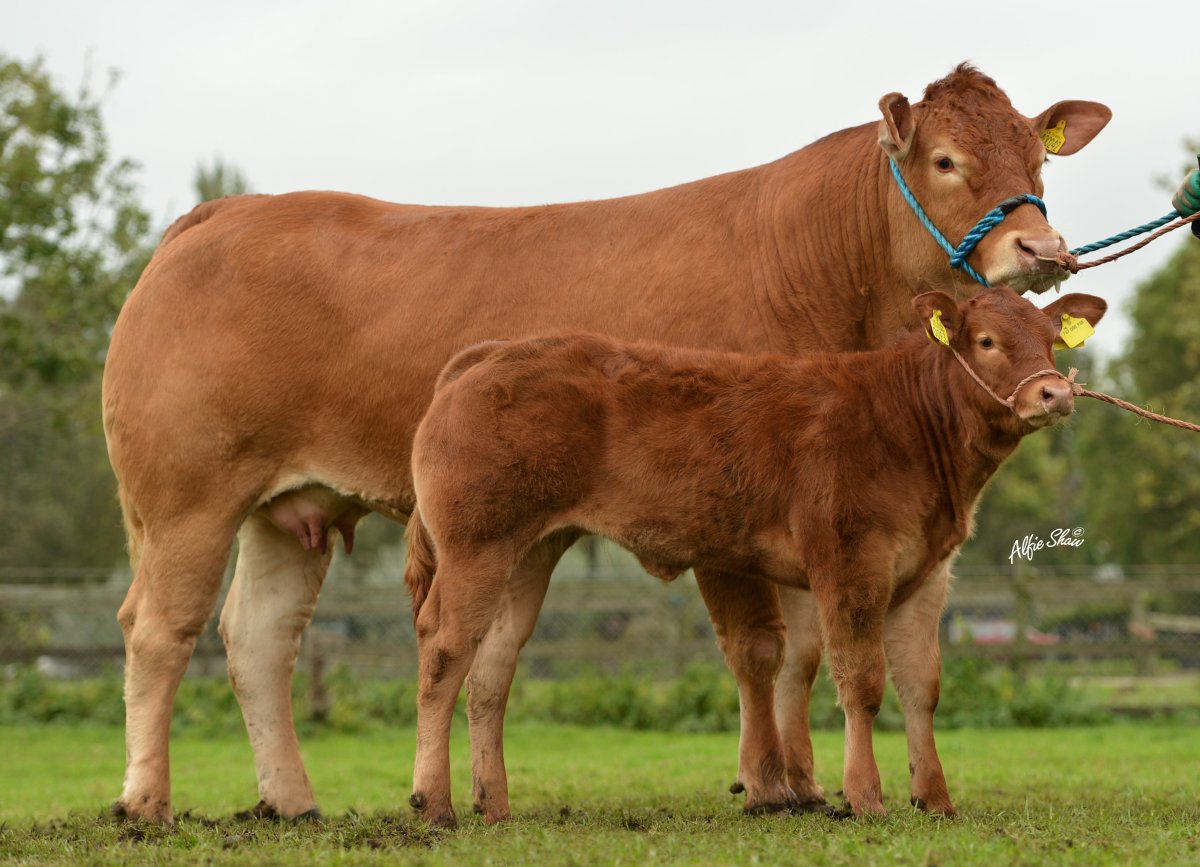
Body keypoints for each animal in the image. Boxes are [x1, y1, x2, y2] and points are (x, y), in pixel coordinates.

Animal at [403, 288, 1107, 825]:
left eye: (1052, 338)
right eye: (986, 340)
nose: (1054, 393)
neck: (908, 426)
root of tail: (492, 353)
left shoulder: (927, 572)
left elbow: (921, 687)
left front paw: (933, 798)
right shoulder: (851, 561)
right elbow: (862, 682)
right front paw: (865, 797)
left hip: (528, 552)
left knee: (491, 669)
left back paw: (494, 805)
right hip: (476, 544)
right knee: (443, 649)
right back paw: (434, 802)